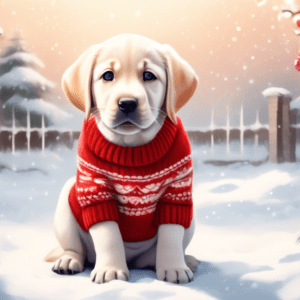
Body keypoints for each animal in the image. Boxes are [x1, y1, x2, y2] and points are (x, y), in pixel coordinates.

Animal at [44, 33, 199, 284]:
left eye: (149, 75)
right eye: (108, 76)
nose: (127, 103)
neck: (133, 148)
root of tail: (133, 260)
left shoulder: (177, 191)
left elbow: (171, 235)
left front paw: (173, 267)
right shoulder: (96, 191)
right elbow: (108, 235)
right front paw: (111, 270)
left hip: (190, 218)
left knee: (155, 254)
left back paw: (185, 260)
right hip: (67, 202)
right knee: (76, 248)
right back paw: (68, 261)